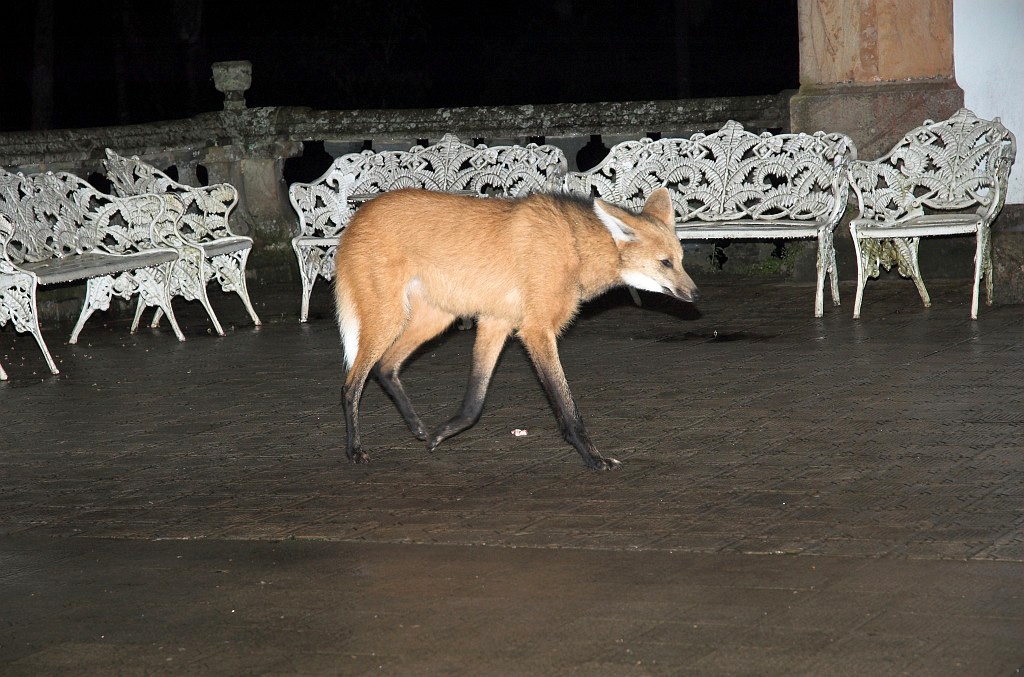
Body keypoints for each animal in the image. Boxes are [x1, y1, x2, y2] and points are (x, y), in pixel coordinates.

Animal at [333, 187, 696, 467]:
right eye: (665, 263)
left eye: (680, 261)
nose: (695, 294)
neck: (575, 248)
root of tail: (357, 216)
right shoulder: (535, 330)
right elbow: (567, 406)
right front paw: (593, 458)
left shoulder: (498, 321)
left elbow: (474, 403)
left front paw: (439, 434)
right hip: (390, 316)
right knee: (351, 384)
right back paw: (354, 450)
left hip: (436, 318)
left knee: (385, 366)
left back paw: (418, 428)